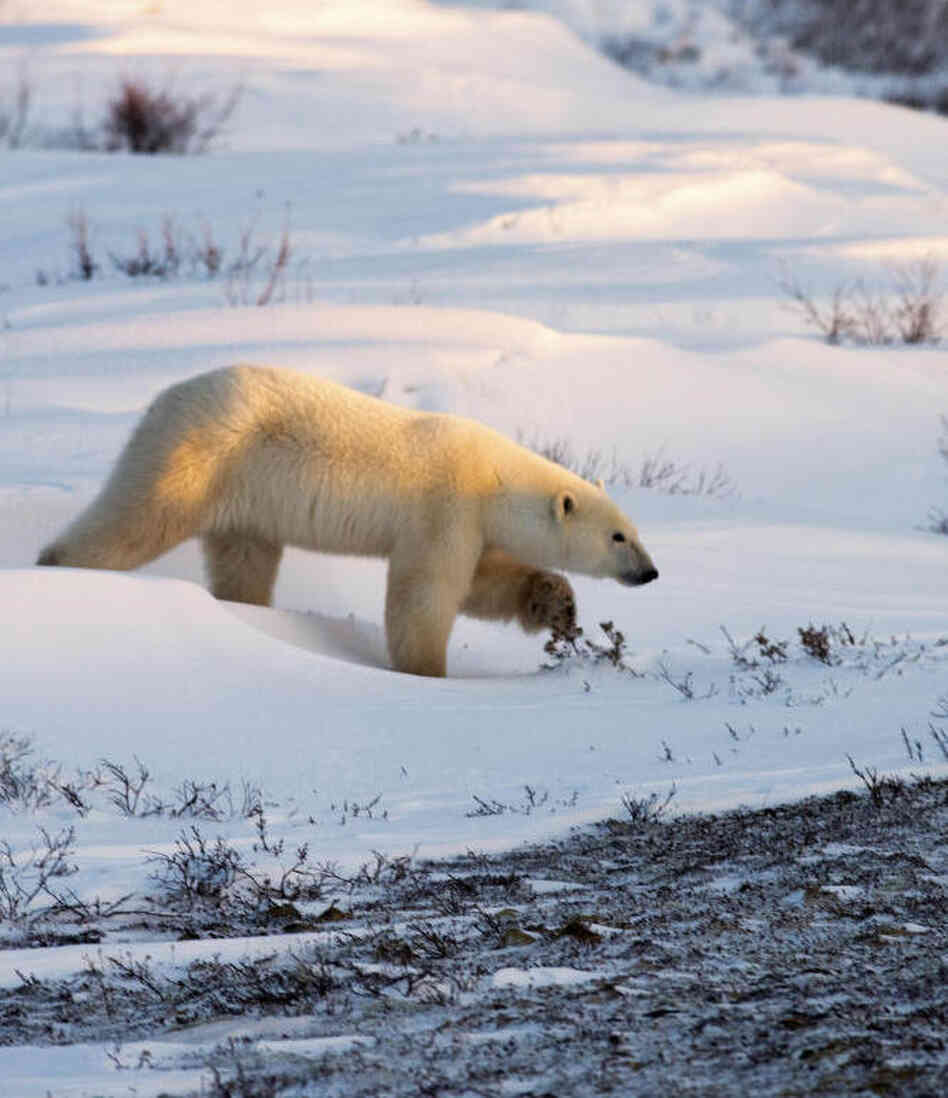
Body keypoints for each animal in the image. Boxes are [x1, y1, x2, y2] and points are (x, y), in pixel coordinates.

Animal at [37, 364, 658, 676]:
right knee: (137, 519)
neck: (495, 480)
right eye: (618, 536)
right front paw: (426, 672)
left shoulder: (473, 525)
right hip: (201, 453)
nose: (651, 573)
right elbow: (426, 593)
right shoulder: (445, 507)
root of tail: (163, 397)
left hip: (246, 496)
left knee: (245, 558)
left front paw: (559, 606)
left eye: (635, 530)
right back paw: (59, 566)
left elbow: (485, 582)